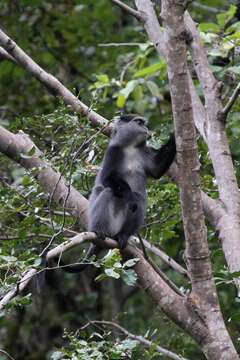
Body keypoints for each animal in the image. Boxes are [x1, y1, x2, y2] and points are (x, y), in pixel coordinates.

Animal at [59, 114, 176, 272]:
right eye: (139, 122)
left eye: (144, 123)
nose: (147, 128)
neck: (130, 147)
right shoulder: (113, 152)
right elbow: (107, 179)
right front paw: (129, 196)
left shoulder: (144, 152)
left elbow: (157, 170)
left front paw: (176, 134)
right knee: (109, 192)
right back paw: (98, 231)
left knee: (140, 200)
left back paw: (123, 235)